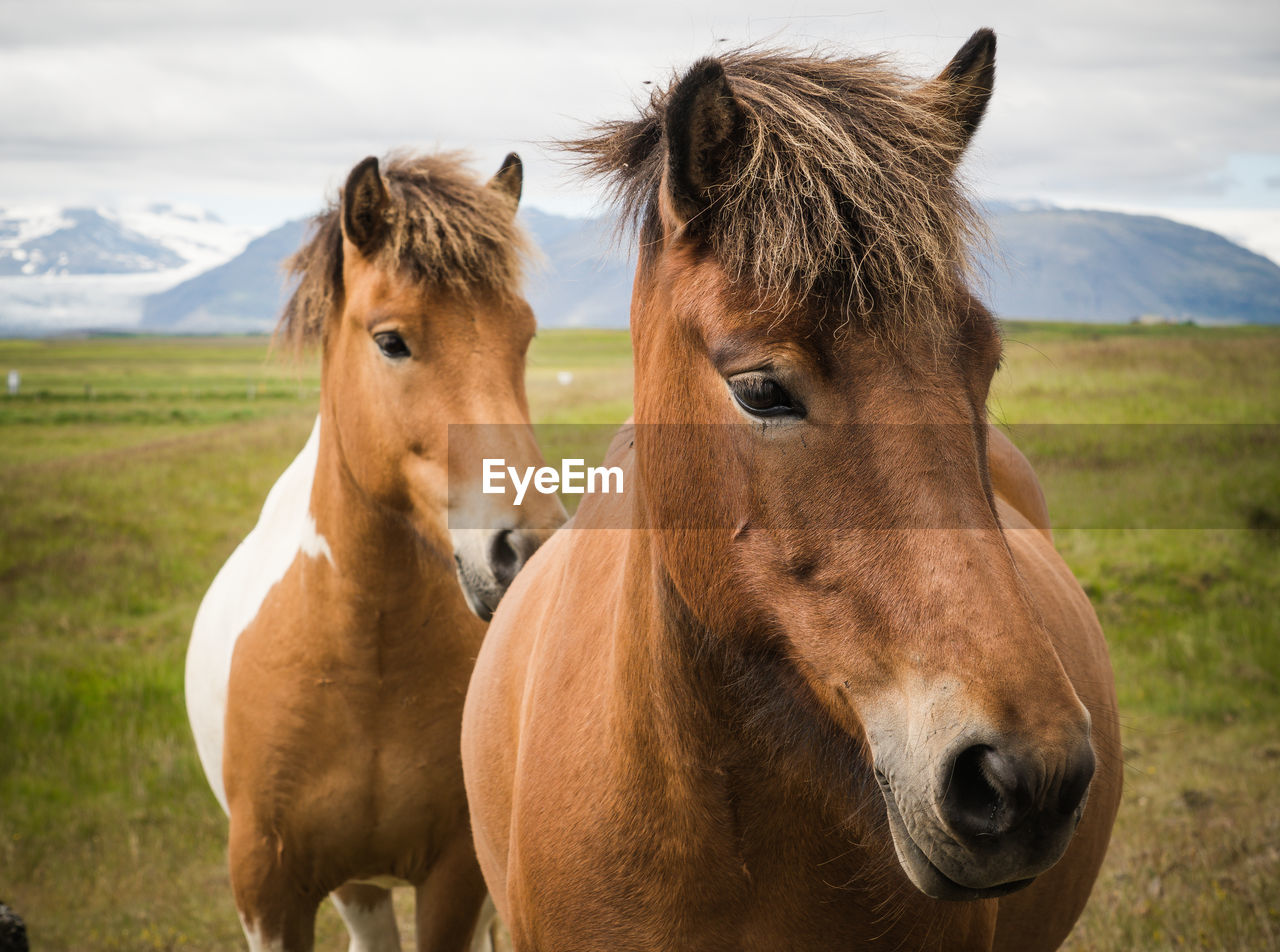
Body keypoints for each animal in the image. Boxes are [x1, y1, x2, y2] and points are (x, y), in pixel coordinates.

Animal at [186, 152, 565, 946]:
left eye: (523, 336)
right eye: (391, 340)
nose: (527, 549)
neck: (365, 660)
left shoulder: (456, 878)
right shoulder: (268, 891)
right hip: (357, 885)